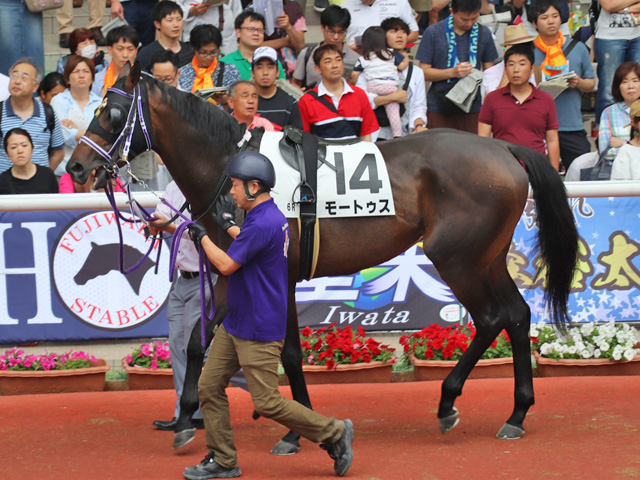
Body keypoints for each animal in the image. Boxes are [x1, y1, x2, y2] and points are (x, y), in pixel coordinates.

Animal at [67, 63, 578, 451]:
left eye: (112, 112)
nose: (76, 165)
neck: (232, 171)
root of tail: (503, 148)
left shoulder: (277, 270)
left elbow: (288, 353)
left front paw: (294, 429)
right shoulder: (234, 272)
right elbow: (197, 342)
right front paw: (185, 419)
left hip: (458, 258)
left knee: (493, 317)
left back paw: (449, 402)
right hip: (486, 257)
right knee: (517, 314)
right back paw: (516, 412)